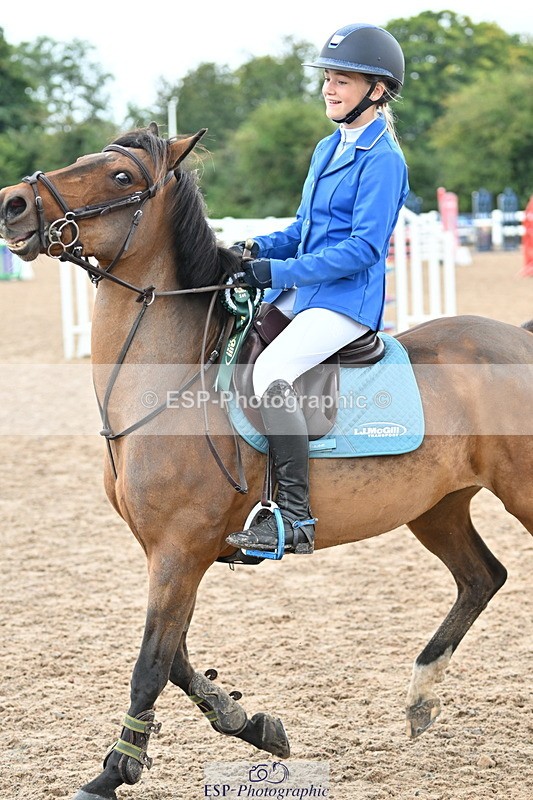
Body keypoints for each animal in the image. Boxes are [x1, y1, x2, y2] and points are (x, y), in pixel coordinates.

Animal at [0, 123, 531, 800]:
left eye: (121, 176)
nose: (13, 203)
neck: (169, 379)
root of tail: (518, 338)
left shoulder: (180, 550)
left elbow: (151, 663)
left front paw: (113, 771)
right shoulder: (170, 553)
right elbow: (176, 658)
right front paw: (248, 722)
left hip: (520, 491)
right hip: (438, 507)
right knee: (482, 577)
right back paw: (419, 698)